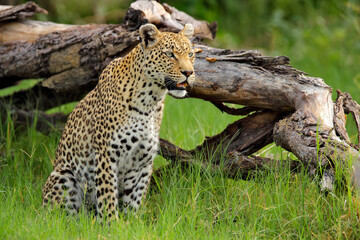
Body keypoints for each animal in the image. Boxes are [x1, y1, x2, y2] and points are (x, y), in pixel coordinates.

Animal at [42, 23, 195, 220]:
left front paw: (131, 223)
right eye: (169, 54)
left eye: (190, 54)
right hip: (63, 175)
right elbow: (107, 197)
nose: (189, 72)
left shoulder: (142, 162)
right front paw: (111, 223)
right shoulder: (107, 155)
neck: (150, 100)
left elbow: (135, 199)